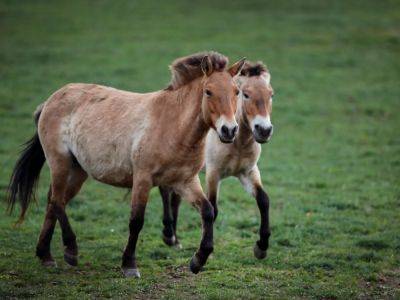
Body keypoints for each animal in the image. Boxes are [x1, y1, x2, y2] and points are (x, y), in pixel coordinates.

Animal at [7, 51, 245, 276]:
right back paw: (71, 251)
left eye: (236, 92)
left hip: (77, 171)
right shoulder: (142, 179)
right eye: (208, 91)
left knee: (55, 201)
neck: (173, 125)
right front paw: (129, 265)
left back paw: (45, 255)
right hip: (60, 162)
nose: (229, 130)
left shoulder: (185, 181)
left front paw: (198, 261)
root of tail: (50, 101)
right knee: (56, 201)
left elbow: (208, 211)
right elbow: (136, 221)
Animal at [159, 60, 276, 258]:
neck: (238, 143)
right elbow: (213, 208)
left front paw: (261, 247)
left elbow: (263, 199)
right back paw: (168, 235)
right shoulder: (213, 174)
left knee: (175, 197)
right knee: (165, 191)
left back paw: (175, 240)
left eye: (271, 94)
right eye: (245, 94)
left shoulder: (248, 172)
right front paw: (206, 253)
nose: (264, 130)